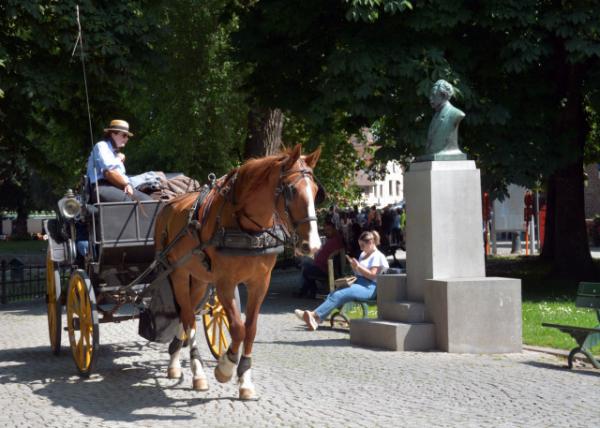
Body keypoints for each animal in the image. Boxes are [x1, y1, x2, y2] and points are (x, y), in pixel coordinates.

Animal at [155, 145, 324, 400]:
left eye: (314, 191)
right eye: (292, 190)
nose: (312, 245)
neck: (247, 227)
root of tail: (169, 205)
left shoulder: (260, 283)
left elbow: (250, 329)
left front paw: (244, 378)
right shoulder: (225, 282)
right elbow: (237, 328)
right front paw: (225, 367)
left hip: (200, 279)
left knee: (187, 314)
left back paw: (175, 360)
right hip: (178, 274)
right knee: (188, 317)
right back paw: (197, 372)